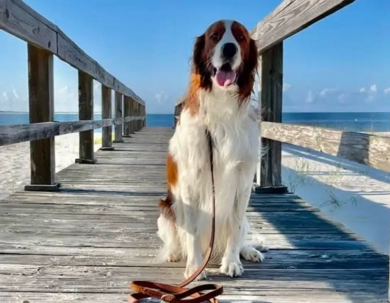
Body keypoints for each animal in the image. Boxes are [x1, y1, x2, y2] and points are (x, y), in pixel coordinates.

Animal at [157, 18, 264, 280]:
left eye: (241, 37)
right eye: (215, 36)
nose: (229, 48)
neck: (222, 105)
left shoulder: (243, 178)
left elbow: (235, 224)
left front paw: (232, 262)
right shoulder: (192, 179)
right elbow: (193, 229)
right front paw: (196, 268)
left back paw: (248, 251)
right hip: (166, 212)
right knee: (174, 238)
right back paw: (174, 253)